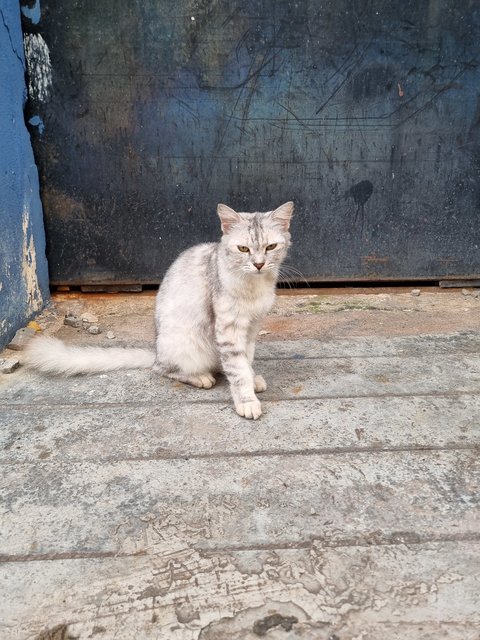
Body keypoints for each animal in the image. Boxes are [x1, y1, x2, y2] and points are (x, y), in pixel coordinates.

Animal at [27, 201, 296, 420]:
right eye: (243, 249)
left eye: (271, 247)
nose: (259, 264)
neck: (254, 287)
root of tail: (156, 352)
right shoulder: (229, 328)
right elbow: (237, 369)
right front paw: (247, 400)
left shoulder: (252, 328)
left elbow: (244, 361)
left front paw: (251, 378)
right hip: (184, 345)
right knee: (164, 370)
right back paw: (200, 377)